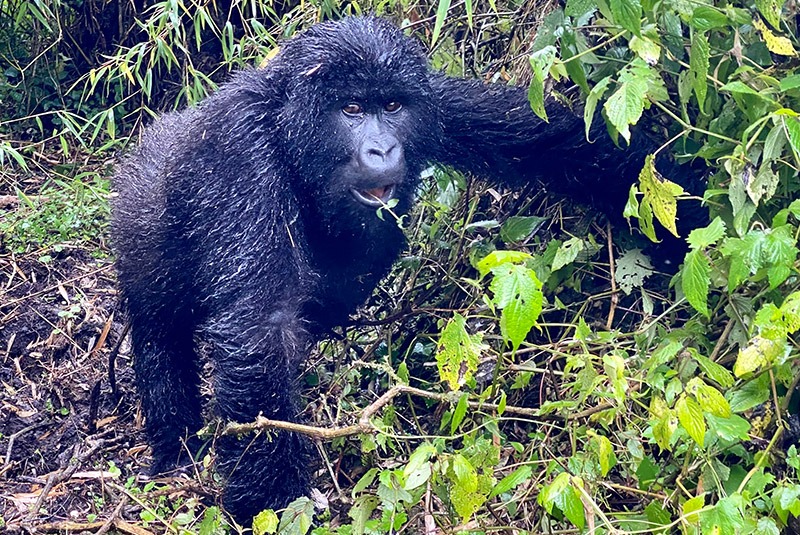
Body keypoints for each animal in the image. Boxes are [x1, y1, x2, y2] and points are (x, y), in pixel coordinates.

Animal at [112, 15, 700, 524]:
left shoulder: (437, 100)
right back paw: (175, 445)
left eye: (392, 105)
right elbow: (262, 324)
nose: (381, 148)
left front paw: (691, 218)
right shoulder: (240, 157)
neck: (287, 122)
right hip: (137, 221)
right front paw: (275, 501)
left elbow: (562, 147)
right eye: (350, 109)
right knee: (160, 333)